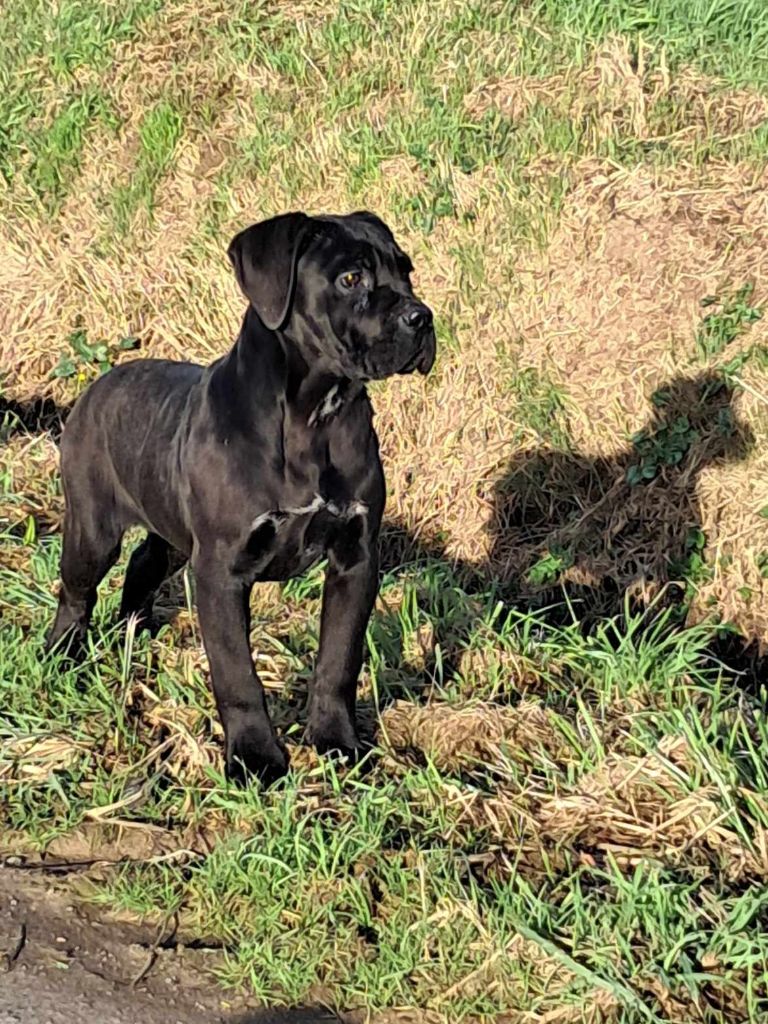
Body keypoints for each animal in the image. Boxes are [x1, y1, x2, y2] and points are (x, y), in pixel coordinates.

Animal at [45, 211, 436, 778]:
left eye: (405, 271)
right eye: (351, 278)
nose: (421, 317)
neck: (312, 415)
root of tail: (98, 384)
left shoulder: (356, 557)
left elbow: (339, 659)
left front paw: (336, 742)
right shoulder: (222, 568)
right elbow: (237, 675)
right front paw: (256, 759)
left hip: (172, 530)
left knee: (145, 561)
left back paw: (137, 629)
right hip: (93, 528)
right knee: (77, 592)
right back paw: (60, 655)